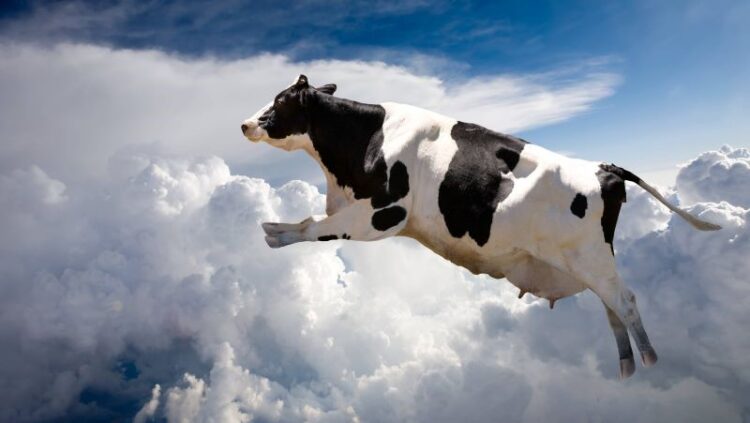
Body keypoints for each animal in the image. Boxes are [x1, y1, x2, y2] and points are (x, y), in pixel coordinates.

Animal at [240, 75, 721, 379]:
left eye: (280, 100)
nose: (244, 123)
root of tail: (604, 167)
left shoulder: (382, 215)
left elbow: (312, 227)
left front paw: (272, 232)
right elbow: (312, 221)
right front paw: (272, 226)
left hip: (592, 258)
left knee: (625, 302)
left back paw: (650, 361)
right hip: (590, 264)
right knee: (612, 307)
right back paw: (625, 368)